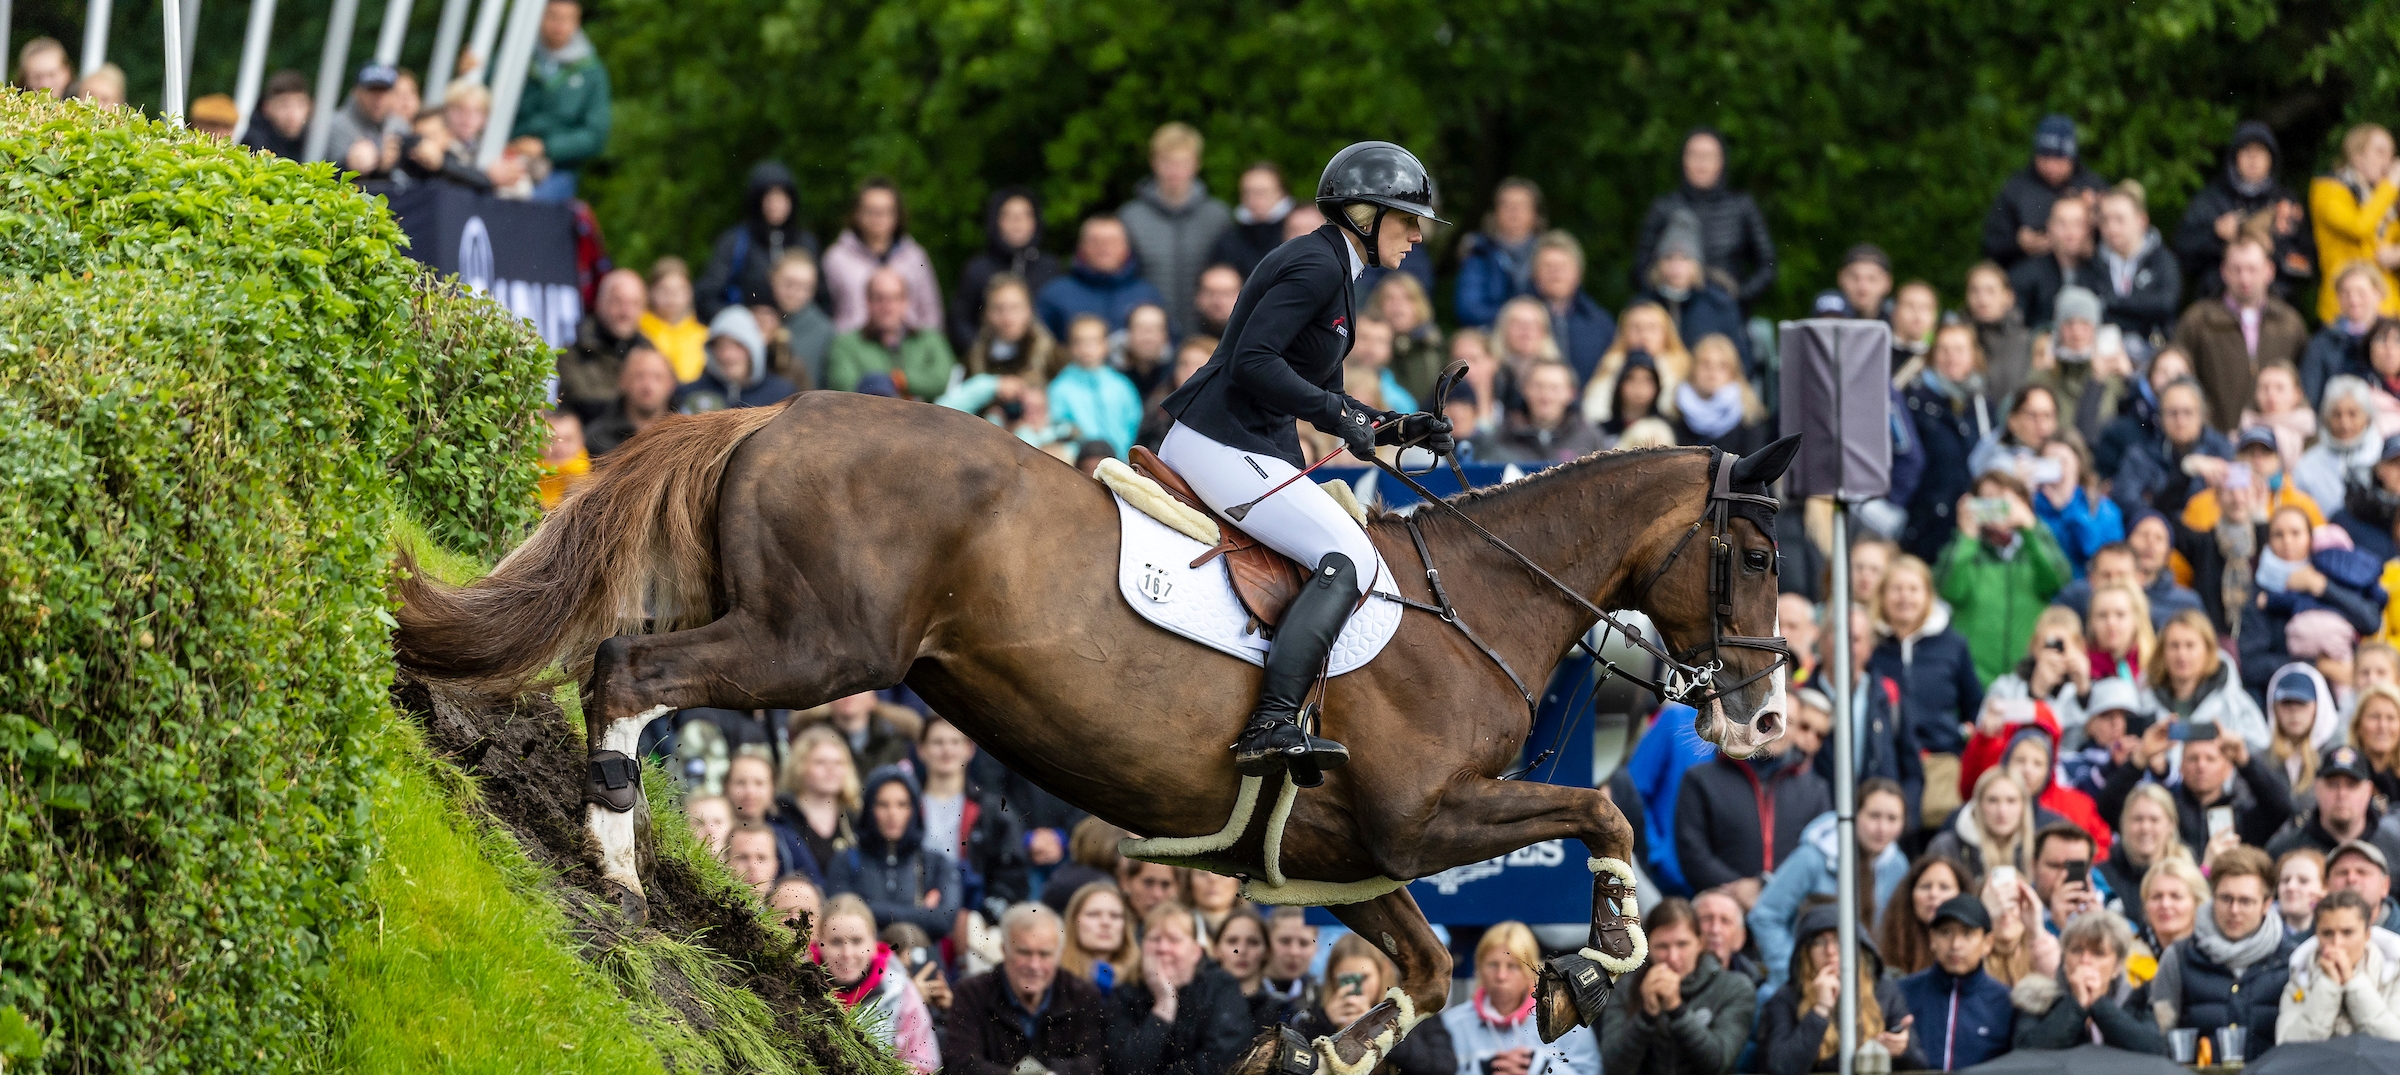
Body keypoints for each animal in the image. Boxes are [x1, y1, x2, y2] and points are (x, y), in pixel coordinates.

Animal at [393, 393, 1795, 1075]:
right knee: (628, 669)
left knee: (616, 657)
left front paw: (1319, 1046)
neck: (1484, 602)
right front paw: (1600, 958)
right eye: (1761, 554)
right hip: (814, 646)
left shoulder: (1346, 858)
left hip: (753, 613)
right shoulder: (1421, 816)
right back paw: (617, 871)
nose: (1770, 713)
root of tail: (775, 414)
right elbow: (1604, 812)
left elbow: (1431, 965)